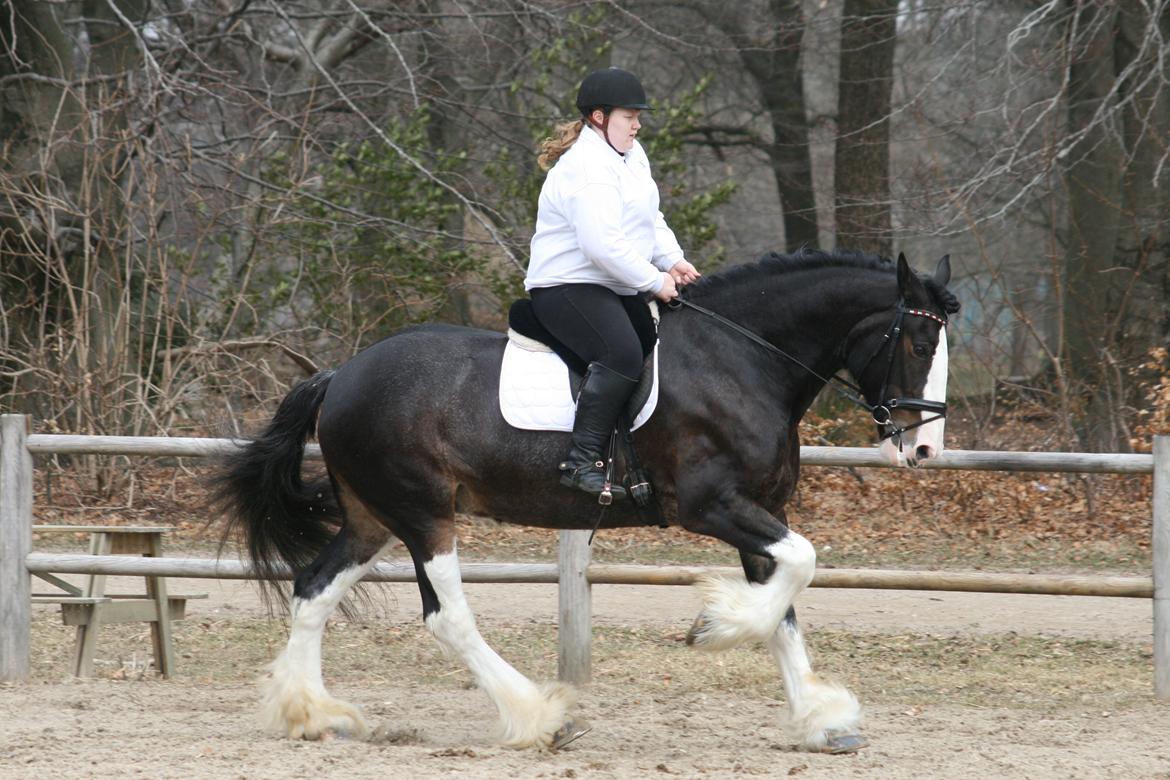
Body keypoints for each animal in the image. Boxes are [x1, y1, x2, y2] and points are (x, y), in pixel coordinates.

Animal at [212, 249, 959, 757]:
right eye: (921, 341)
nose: (925, 449)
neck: (743, 360)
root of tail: (340, 374)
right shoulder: (711, 505)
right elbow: (800, 565)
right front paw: (714, 627)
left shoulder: (760, 509)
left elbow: (785, 610)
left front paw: (819, 722)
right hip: (424, 514)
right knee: (446, 616)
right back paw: (541, 717)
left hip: (372, 519)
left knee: (314, 589)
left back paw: (311, 715)